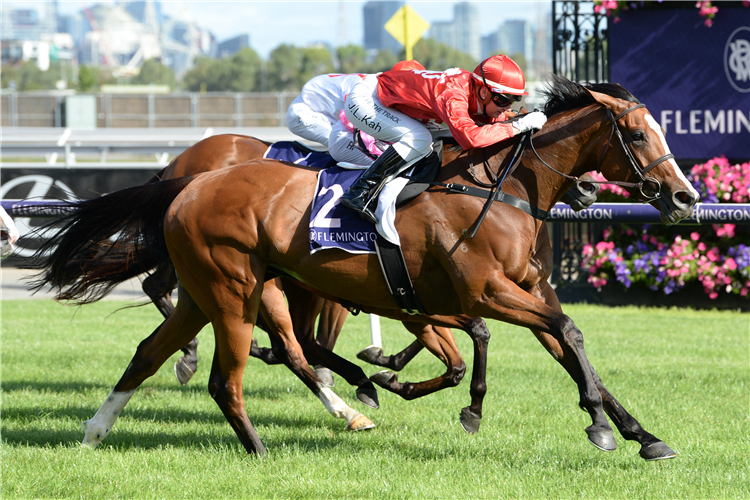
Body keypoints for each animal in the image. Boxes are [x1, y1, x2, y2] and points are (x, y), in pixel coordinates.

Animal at [32, 75, 700, 460]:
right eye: (638, 134)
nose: (686, 196)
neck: (500, 186)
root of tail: (188, 182)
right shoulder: (483, 292)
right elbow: (550, 333)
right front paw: (596, 426)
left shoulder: (522, 290)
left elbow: (572, 344)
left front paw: (640, 435)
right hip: (236, 290)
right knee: (239, 371)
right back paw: (268, 445)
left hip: (214, 290)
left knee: (154, 350)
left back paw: (96, 431)